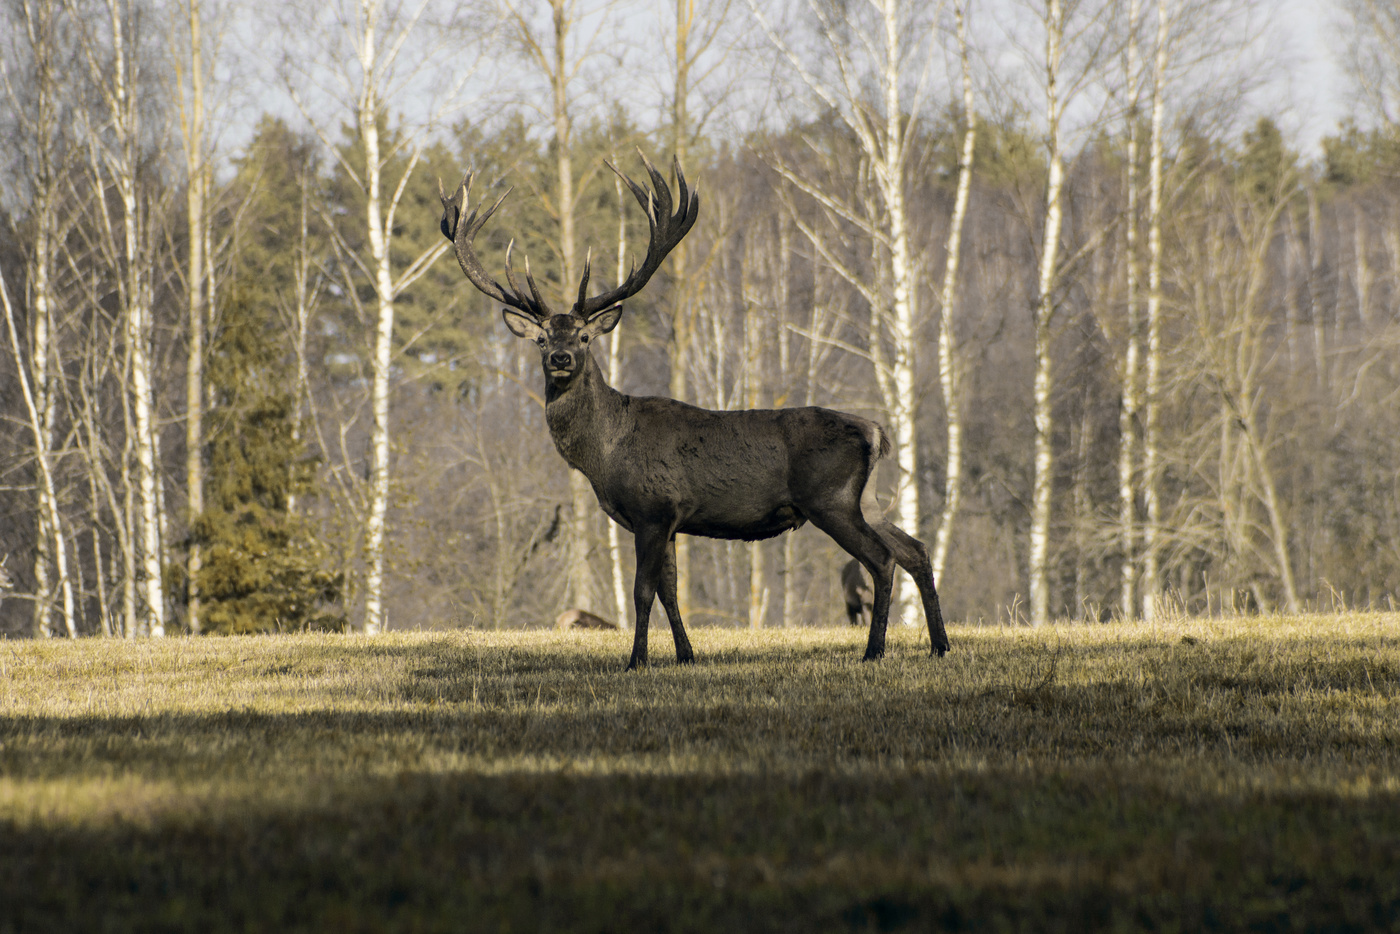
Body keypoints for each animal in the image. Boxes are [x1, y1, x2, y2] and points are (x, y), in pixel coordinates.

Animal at [438, 153, 950, 670]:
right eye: (542, 338)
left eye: (583, 336)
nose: (560, 358)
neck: (605, 454)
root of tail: (875, 432)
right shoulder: (669, 520)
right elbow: (670, 591)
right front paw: (686, 655)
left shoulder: (653, 509)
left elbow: (643, 592)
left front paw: (637, 660)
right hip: (869, 500)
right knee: (917, 550)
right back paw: (940, 645)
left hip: (831, 498)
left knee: (882, 559)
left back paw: (875, 651)